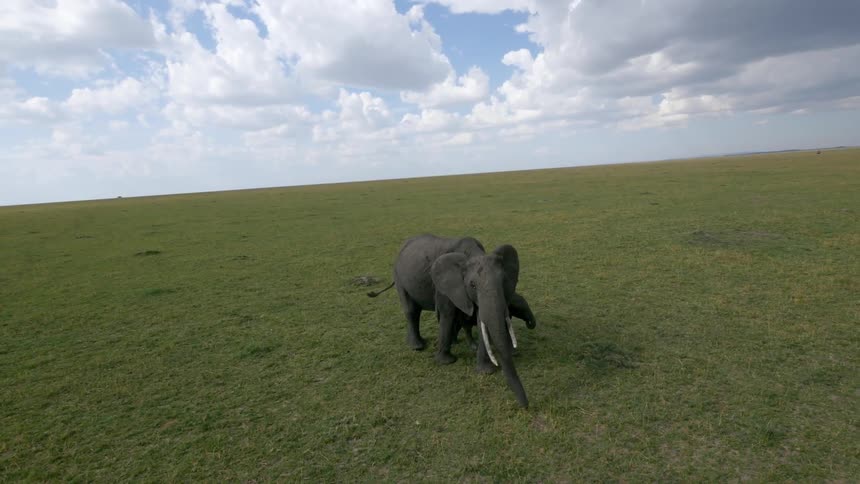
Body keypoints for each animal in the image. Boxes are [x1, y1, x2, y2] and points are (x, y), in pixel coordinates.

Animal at [367, 234, 537, 408]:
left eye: (504, 281)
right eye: (472, 285)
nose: (526, 406)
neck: (473, 254)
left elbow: (480, 318)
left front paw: (485, 371)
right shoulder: (445, 286)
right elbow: (447, 314)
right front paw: (446, 362)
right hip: (399, 276)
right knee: (411, 310)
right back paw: (417, 347)